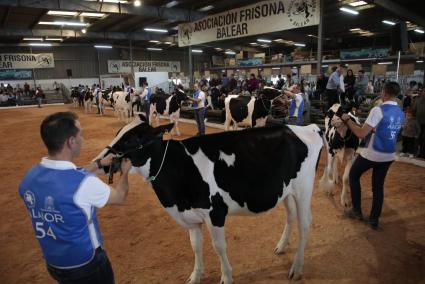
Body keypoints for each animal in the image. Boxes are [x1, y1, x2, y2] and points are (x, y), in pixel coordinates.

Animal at [95, 115, 322, 282]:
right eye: (118, 133)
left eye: (133, 138)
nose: (99, 161)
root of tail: (307, 127)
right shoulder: (191, 218)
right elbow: (195, 246)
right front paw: (195, 276)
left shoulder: (215, 213)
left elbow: (218, 247)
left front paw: (226, 276)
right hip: (286, 190)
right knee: (291, 215)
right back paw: (281, 246)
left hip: (304, 188)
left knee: (305, 223)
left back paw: (297, 268)